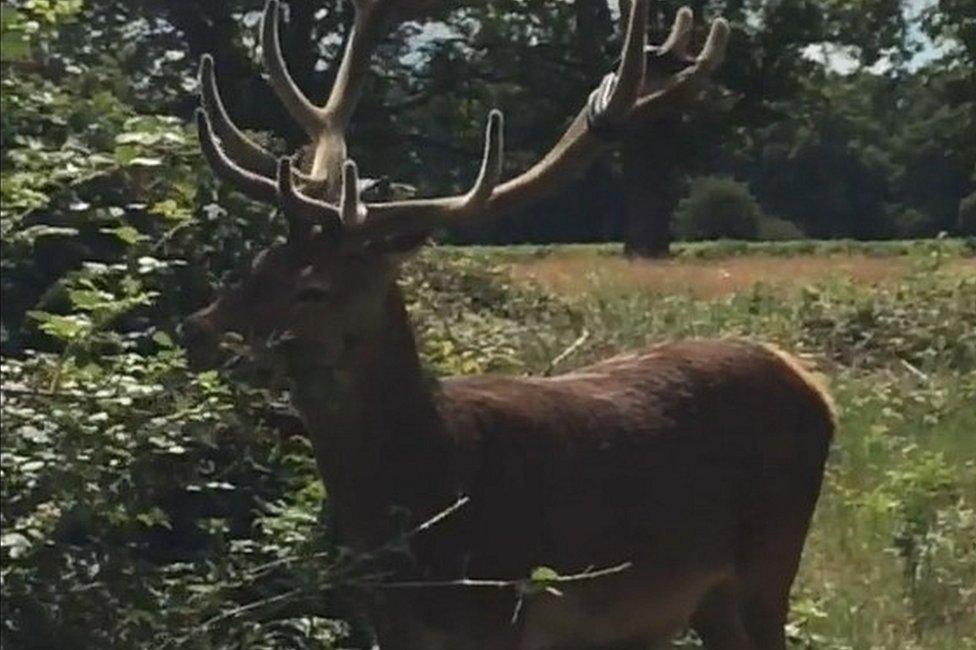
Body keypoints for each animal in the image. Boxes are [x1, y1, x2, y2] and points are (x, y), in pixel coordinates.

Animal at [185, 2, 840, 644]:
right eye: (260, 261)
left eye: (314, 289)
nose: (197, 329)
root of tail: (812, 384)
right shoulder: (385, 622)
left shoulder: (502, 609)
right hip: (708, 597)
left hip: (769, 563)